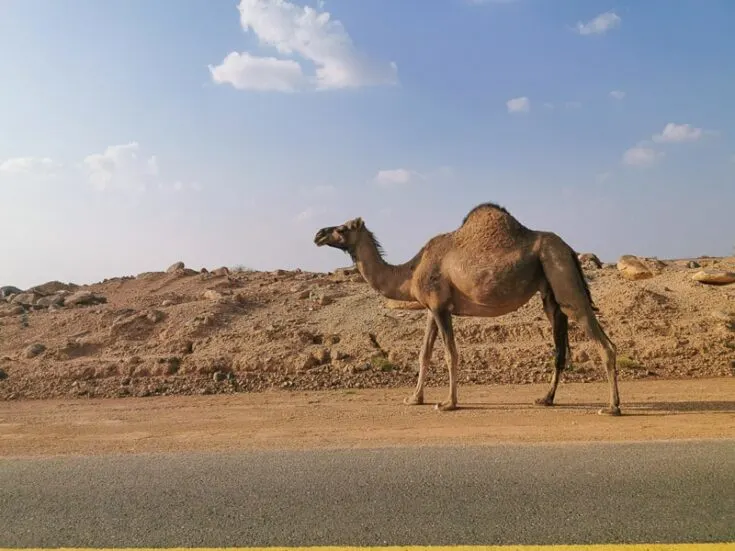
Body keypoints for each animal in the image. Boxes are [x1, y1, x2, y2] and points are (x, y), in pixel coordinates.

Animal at [314, 202, 624, 414]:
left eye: (342, 228)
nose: (318, 233)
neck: (410, 272)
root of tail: (570, 249)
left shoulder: (440, 306)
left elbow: (450, 354)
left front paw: (448, 403)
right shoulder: (432, 308)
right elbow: (424, 354)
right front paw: (414, 398)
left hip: (560, 271)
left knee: (601, 339)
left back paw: (612, 407)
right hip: (549, 287)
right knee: (560, 346)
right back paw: (546, 399)